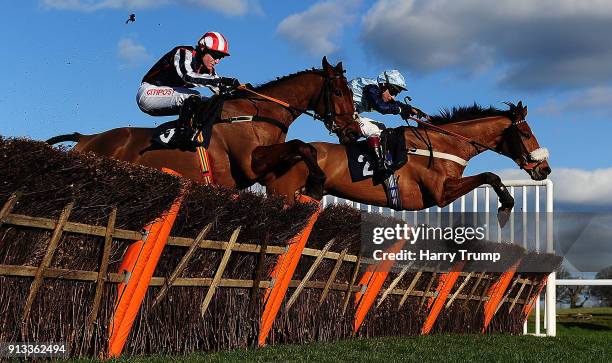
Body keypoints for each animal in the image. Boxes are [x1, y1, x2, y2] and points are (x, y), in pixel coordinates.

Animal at [50, 57, 360, 195]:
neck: (258, 113)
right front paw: (317, 181)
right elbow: (300, 145)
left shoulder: (264, 169)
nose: (353, 131)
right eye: (338, 92)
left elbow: (304, 148)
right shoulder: (250, 162)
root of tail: (85, 138)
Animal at [256, 102, 548, 220]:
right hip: (284, 193)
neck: (444, 144)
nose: (544, 169)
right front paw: (506, 204)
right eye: (525, 133)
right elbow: (490, 175)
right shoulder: (440, 193)